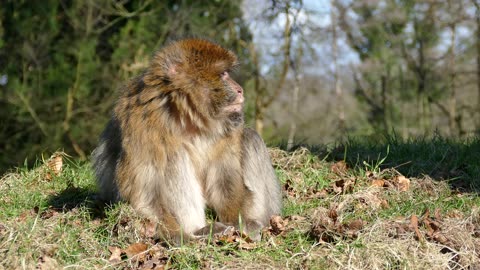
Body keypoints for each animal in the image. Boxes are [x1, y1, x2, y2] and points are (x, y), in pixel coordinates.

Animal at [92, 38, 284, 243]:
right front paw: (178, 236)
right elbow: (146, 192)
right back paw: (198, 230)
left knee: (250, 138)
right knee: (174, 159)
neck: (188, 116)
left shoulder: (228, 127)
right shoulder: (143, 124)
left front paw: (239, 220)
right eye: (223, 74)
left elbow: (224, 175)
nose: (240, 90)